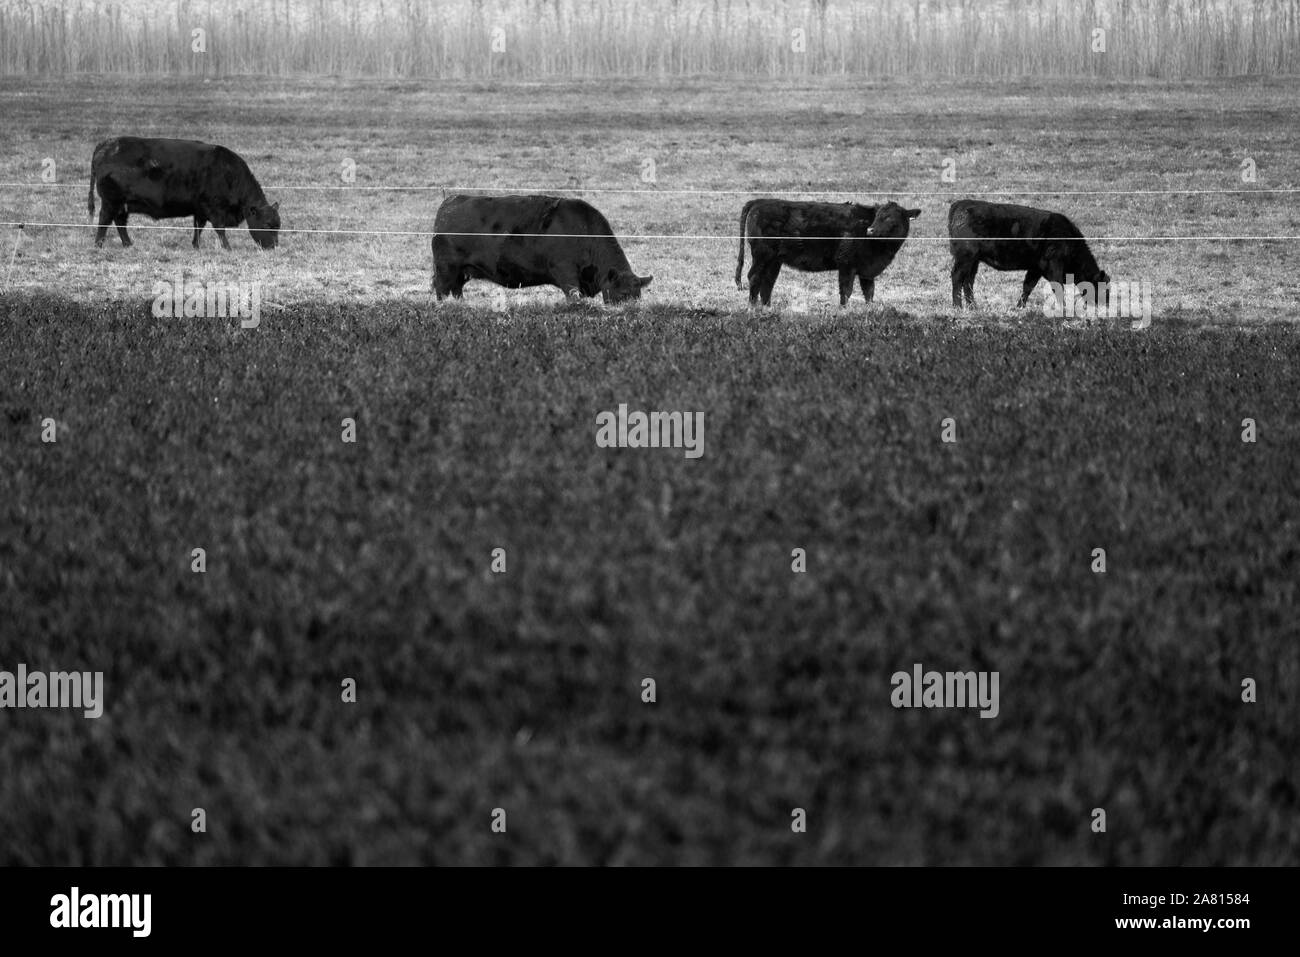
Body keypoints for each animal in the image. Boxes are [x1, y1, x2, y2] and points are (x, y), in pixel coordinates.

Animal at [88, 137, 280, 249]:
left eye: (278, 225)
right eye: (267, 224)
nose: (274, 247)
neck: (228, 173)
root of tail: (107, 144)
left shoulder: (200, 210)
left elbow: (198, 227)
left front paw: (196, 245)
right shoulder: (214, 208)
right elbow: (220, 228)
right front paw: (227, 247)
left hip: (122, 204)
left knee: (120, 222)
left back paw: (128, 244)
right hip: (111, 201)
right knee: (104, 220)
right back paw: (98, 244)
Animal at [431, 194, 652, 303]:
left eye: (638, 296)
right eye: (622, 294)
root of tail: (450, 201)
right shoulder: (566, 273)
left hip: (460, 273)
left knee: (456, 291)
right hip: (446, 269)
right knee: (442, 291)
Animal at [734, 199, 920, 307]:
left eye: (890, 217)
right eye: (878, 215)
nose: (871, 230)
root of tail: (761, 201)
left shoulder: (867, 270)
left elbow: (869, 293)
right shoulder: (846, 263)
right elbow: (846, 290)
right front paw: (844, 310)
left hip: (774, 260)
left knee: (767, 282)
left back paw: (766, 308)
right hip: (761, 254)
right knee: (754, 277)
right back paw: (752, 308)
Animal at [947, 200, 1109, 310]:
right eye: (1103, 288)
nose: (1106, 305)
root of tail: (961, 204)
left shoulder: (1035, 268)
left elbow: (1028, 286)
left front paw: (1019, 306)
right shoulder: (1053, 265)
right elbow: (1058, 287)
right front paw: (1062, 309)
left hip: (974, 260)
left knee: (968, 280)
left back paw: (973, 306)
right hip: (965, 257)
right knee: (957, 277)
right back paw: (958, 306)